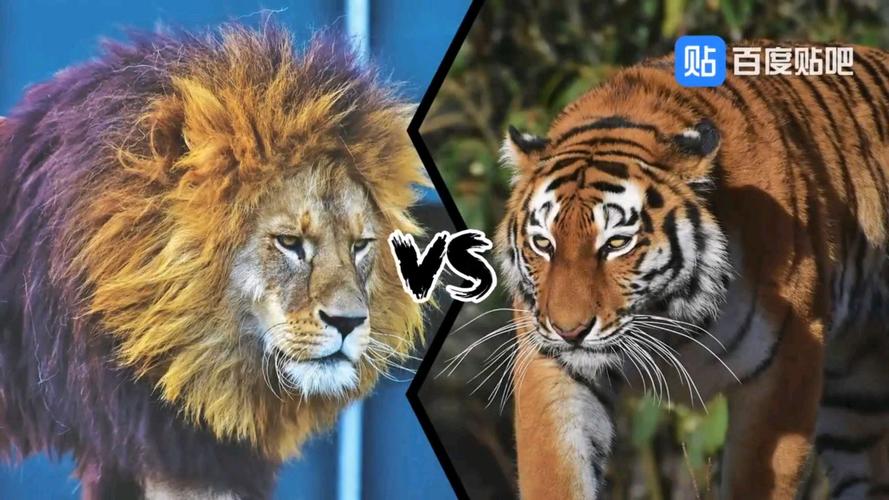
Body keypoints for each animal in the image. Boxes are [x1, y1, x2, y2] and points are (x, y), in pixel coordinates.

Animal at [497, 42, 889, 499]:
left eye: (616, 244)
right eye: (544, 244)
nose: (569, 331)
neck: (667, 316)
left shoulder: (786, 363)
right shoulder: (551, 363)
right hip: (855, 405)